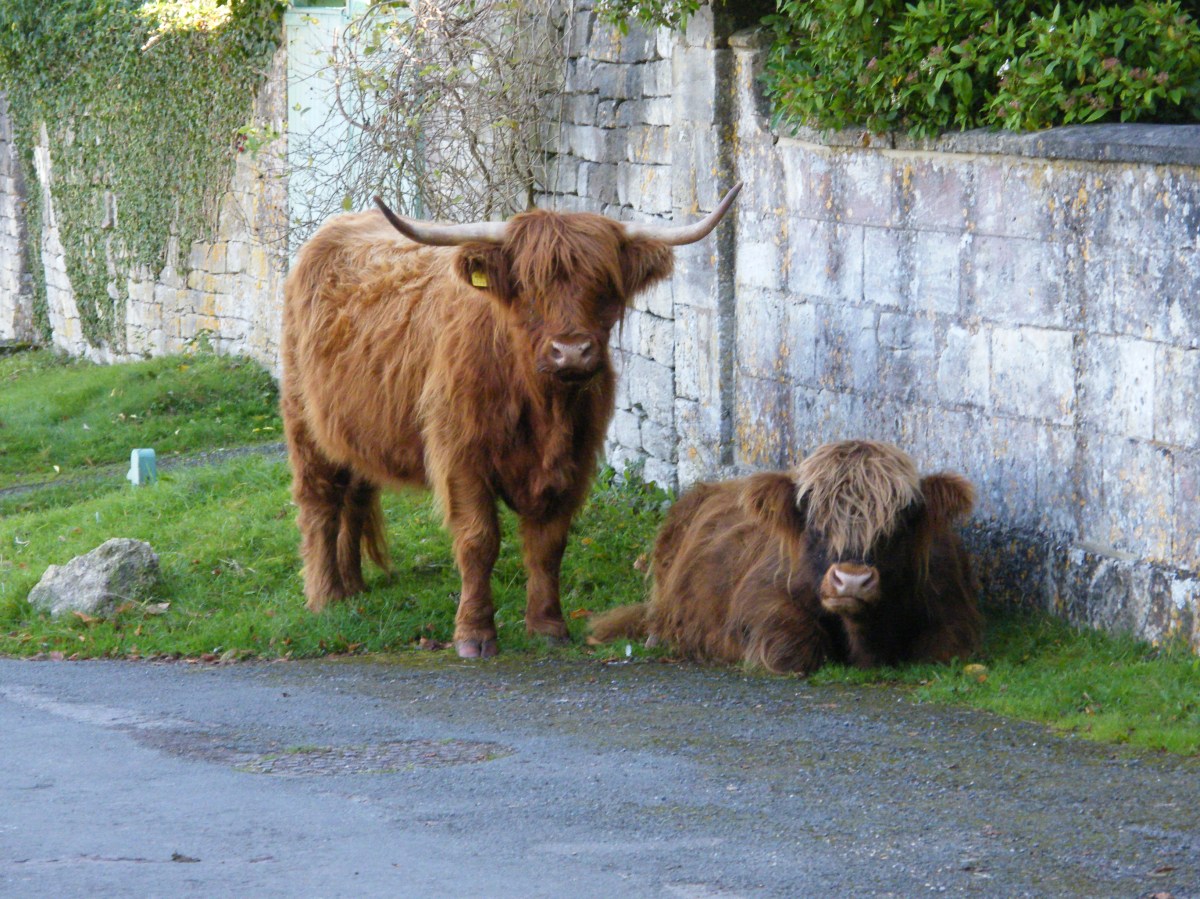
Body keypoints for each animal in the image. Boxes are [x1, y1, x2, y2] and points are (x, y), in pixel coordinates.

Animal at [281, 184, 741, 658]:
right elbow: (479, 540)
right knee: (319, 502)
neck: (543, 407)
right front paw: (474, 634)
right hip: (303, 421)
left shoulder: (573, 460)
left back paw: (353, 586)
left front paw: (548, 625)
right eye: (529, 285)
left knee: (354, 495)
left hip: (355, 430)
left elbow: (548, 543)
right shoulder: (461, 457)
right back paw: (326, 595)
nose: (571, 352)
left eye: (603, 284)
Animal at [588, 440, 981, 674]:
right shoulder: (760, 597)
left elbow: (941, 649)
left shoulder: (951, 610)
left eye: (899, 521)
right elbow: (794, 646)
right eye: (813, 520)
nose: (851, 581)